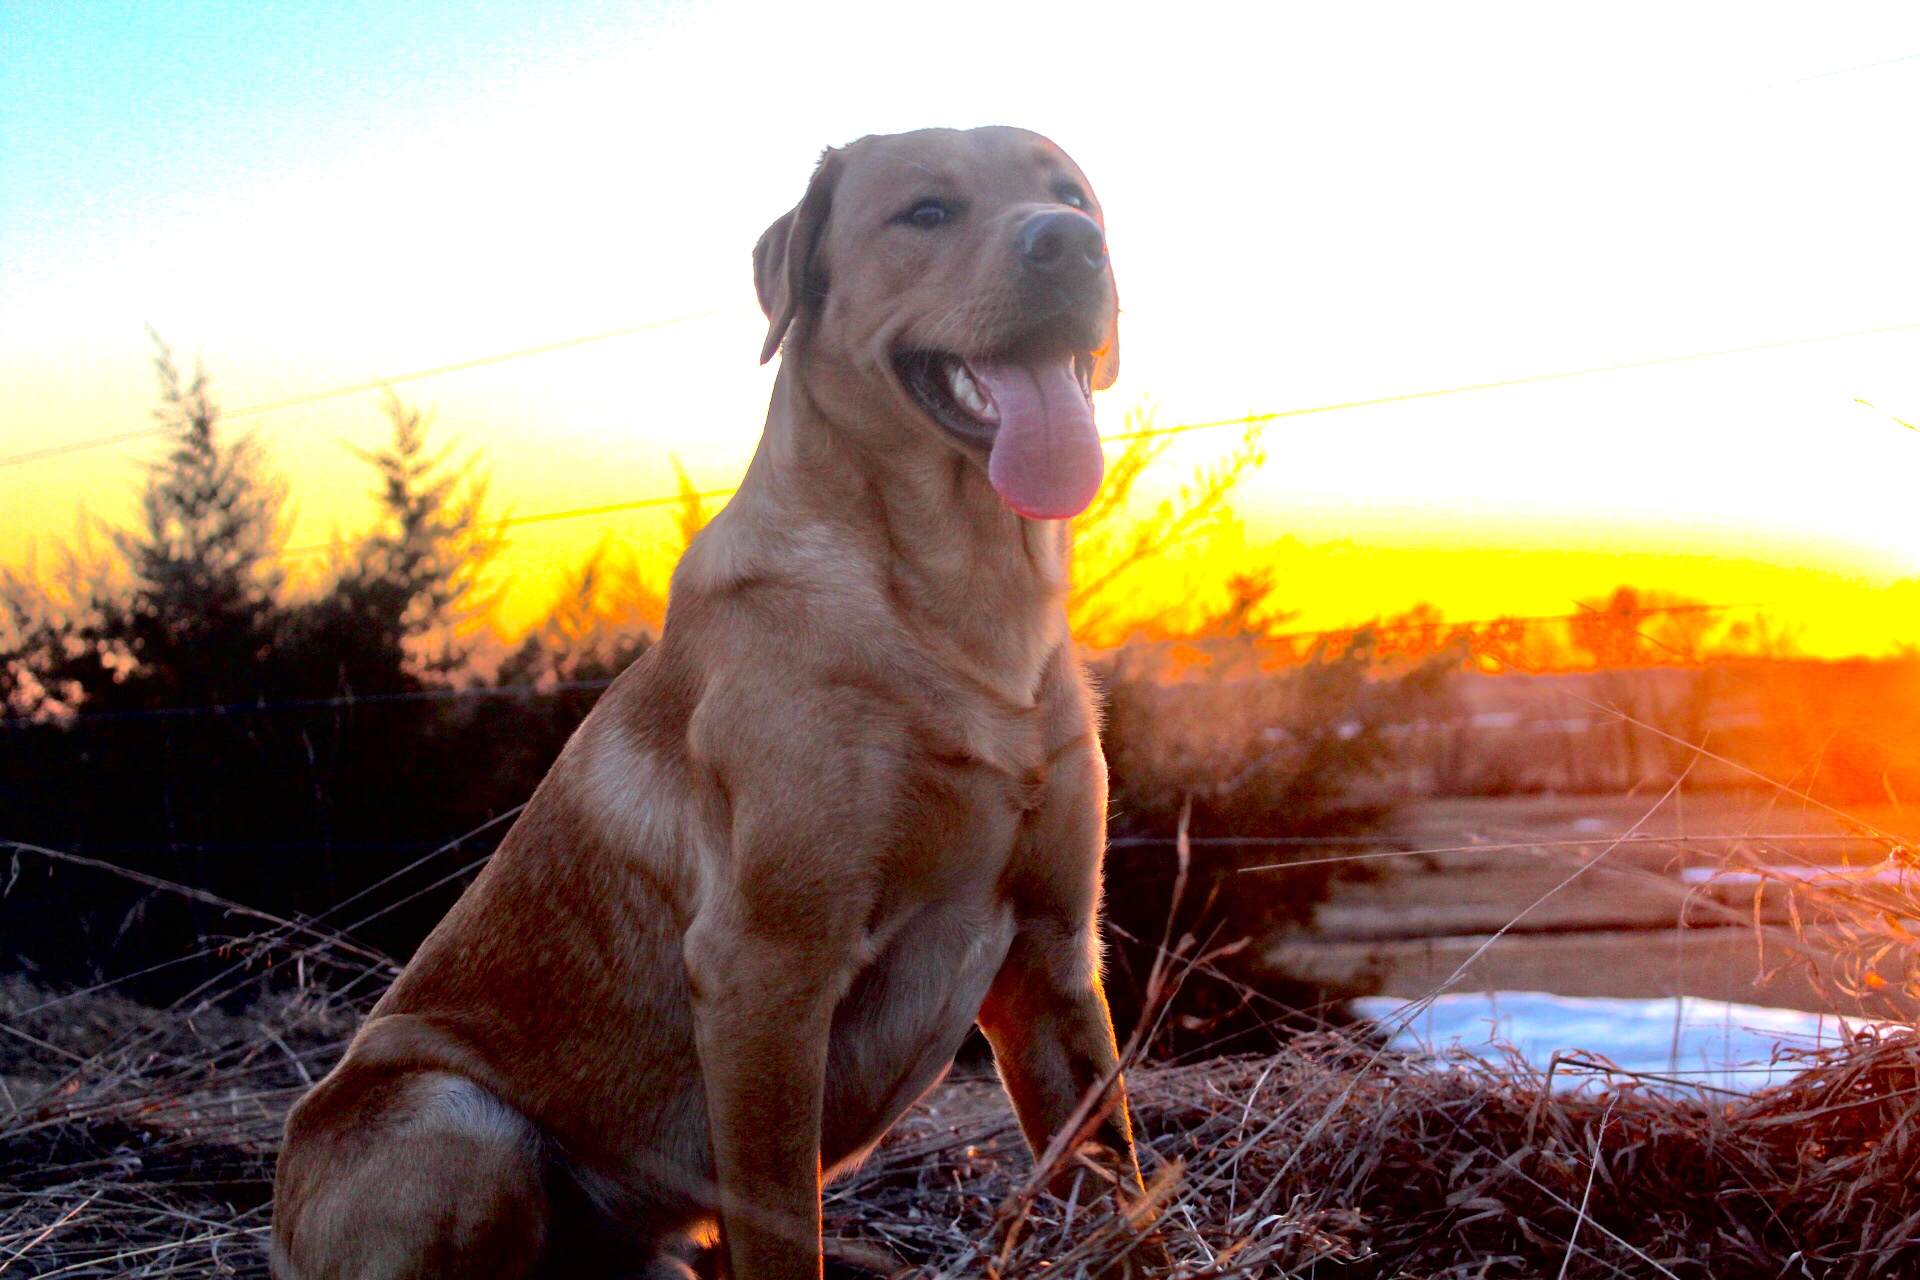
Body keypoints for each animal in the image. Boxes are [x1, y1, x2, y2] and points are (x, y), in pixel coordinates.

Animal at [268, 127, 1136, 1280]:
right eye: (926, 212)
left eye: (1072, 196)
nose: (1071, 246)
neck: (962, 603)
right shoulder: (765, 969)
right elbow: (779, 1229)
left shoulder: (1052, 961)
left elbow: (1127, 1190)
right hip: (454, 1117)